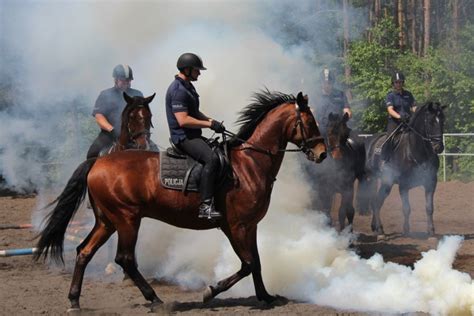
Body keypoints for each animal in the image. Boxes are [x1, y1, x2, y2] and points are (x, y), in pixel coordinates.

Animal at [35, 90, 328, 312]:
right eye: (309, 121)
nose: (323, 153)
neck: (249, 164)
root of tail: (98, 162)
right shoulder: (235, 226)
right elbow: (247, 264)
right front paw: (211, 291)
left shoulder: (250, 226)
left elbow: (256, 261)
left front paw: (265, 296)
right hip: (127, 219)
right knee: (125, 258)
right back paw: (155, 300)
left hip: (107, 221)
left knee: (84, 251)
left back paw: (74, 301)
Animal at [362, 102, 446, 236]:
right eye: (430, 121)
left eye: (443, 120)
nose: (438, 147)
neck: (414, 151)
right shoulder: (403, 185)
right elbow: (407, 208)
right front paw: (406, 230)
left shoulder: (431, 183)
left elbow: (429, 207)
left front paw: (431, 231)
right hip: (376, 179)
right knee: (376, 202)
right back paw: (380, 230)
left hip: (385, 183)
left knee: (376, 201)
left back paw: (376, 227)